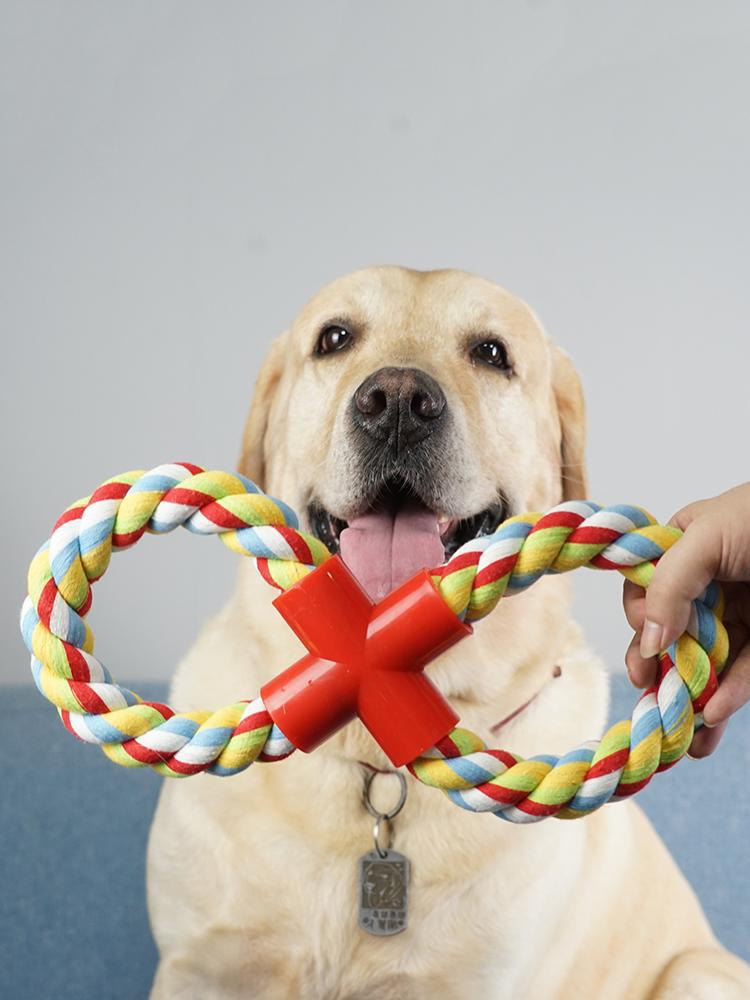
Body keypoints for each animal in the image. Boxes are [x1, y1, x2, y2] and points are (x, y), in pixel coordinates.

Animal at [147, 262, 750, 996]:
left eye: (491, 353)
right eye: (334, 338)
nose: (397, 404)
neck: (377, 756)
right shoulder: (196, 967)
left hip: (698, 969)